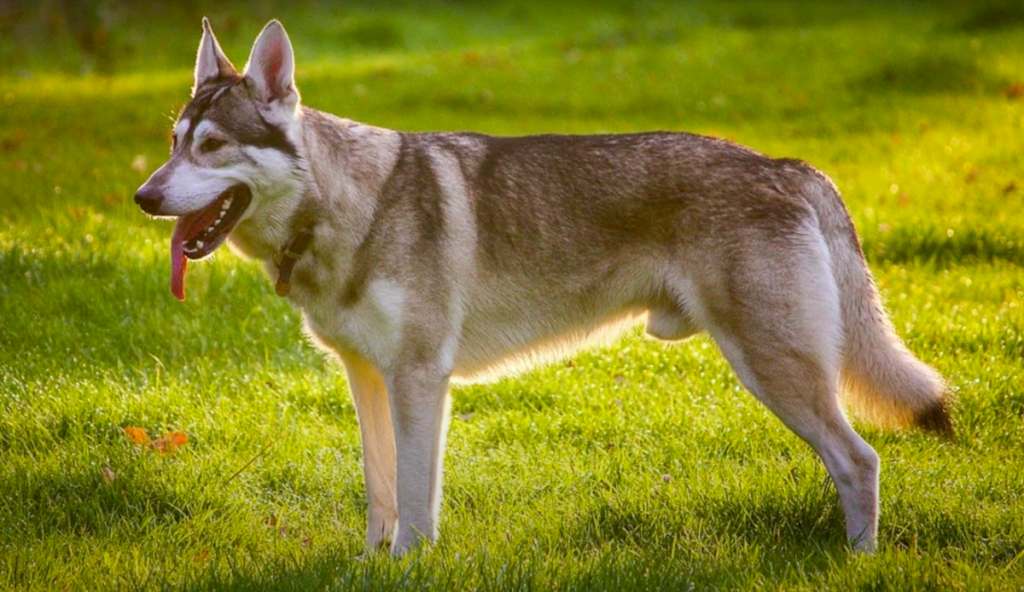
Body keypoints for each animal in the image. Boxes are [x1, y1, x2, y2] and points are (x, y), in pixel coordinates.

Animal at [134, 18, 950, 553]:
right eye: (173, 143)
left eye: (212, 146)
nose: (143, 196)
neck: (347, 207)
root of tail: (789, 165)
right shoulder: (367, 377)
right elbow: (380, 495)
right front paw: (371, 567)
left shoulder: (421, 380)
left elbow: (416, 506)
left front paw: (410, 568)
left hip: (773, 370)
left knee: (860, 461)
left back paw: (858, 560)